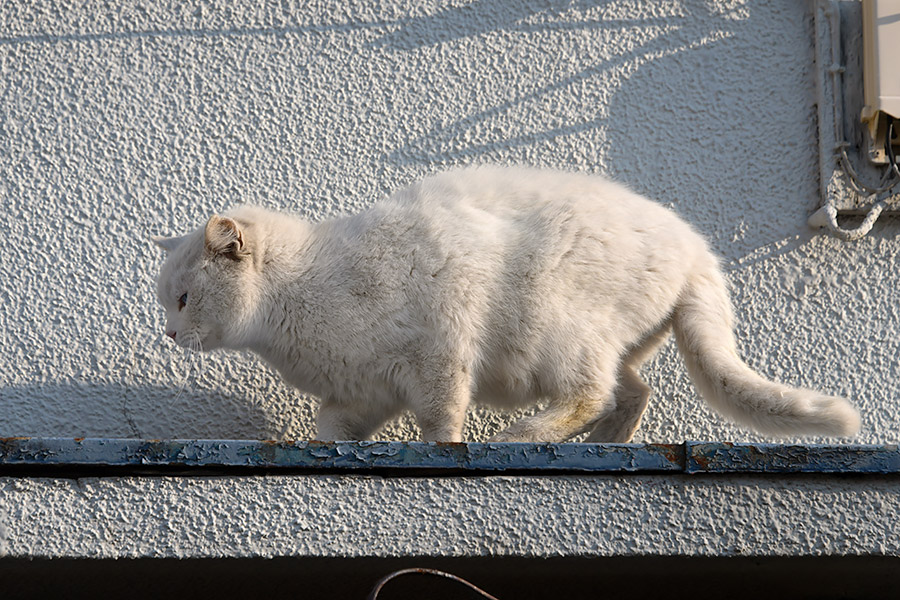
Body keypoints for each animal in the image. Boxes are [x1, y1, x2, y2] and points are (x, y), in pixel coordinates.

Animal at [156, 166, 864, 442]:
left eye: (184, 299)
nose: (167, 332)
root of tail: (697, 248)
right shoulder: (360, 393)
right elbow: (334, 430)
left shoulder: (440, 348)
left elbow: (441, 418)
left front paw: (439, 450)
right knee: (632, 388)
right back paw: (602, 444)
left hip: (555, 325)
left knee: (596, 390)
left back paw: (531, 433)